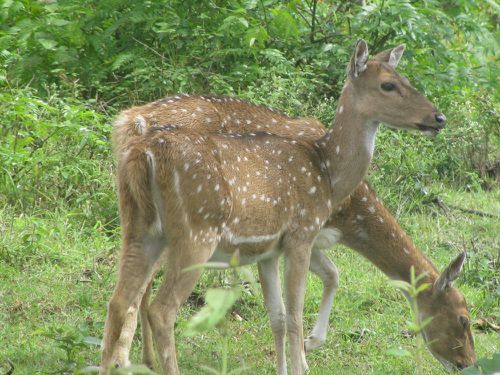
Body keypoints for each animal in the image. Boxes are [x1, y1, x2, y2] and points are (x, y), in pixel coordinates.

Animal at [100, 39, 454, 374]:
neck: (329, 176)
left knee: (118, 300)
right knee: (160, 309)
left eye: (406, 78)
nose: (438, 117)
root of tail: (133, 131)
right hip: (195, 232)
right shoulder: (302, 234)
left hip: (139, 226)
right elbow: (298, 313)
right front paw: (305, 358)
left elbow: (281, 315)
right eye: (388, 85)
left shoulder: (269, 249)